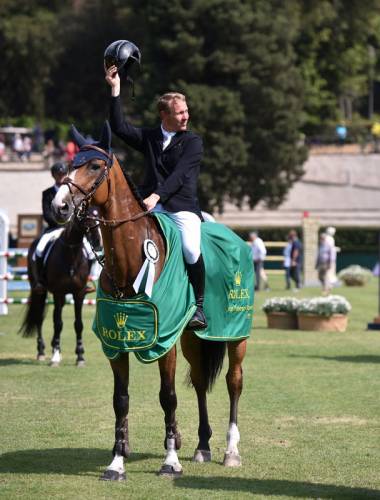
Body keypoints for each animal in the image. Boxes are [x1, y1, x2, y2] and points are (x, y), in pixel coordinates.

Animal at [18, 207, 101, 368]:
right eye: (87, 218)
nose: (99, 243)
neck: (71, 254)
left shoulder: (78, 293)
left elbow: (78, 324)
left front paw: (80, 356)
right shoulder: (58, 292)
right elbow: (58, 324)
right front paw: (55, 356)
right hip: (41, 291)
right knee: (39, 318)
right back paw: (42, 351)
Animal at [52, 122, 251, 480]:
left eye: (95, 166)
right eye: (70, 164)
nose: (59, 207)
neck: (129, 261)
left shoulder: (164, 343)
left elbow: (167, 396)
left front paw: (170, 461)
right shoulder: (117, 343)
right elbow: (121, 399)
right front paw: (116, 462)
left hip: (235, 335)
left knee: (233, 382)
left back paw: (231, 451)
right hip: (192, 338)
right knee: (200, 382)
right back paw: (203, 446)